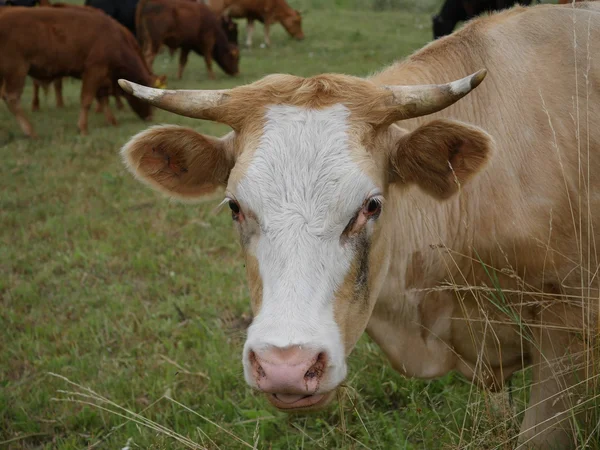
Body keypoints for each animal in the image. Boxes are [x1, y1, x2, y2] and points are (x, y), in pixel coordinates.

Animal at [0, 5, 166, 137]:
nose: (151, 117)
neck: (116, 39)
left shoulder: (101, 76)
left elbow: (102, 98)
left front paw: (112, 121)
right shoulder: (94, 70)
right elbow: (87, 99)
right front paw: (83, 128)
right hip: (17, 70)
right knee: (12, 97)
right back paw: (31, 132)